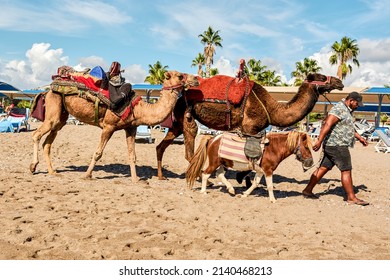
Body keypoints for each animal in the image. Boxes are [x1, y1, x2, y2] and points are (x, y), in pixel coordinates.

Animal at [31, 71, 198, 183]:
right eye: (180, 76)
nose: (196, 79)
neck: (139, 109)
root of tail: (47, 90)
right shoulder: (108, 126)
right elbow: (98, 153)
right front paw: (86, 175)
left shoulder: (131, 128)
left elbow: (132, 155)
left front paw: (136, 179)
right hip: (53, 108)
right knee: (36, 135)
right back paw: (33, 167)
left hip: (61, 116)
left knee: (48, 142)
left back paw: (53, 172)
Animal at [156, 72, 344, 179]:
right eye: (322, 77)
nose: (339, 81)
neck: (271, 109)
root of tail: (181, 94)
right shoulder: (249, 128)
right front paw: (241, 177)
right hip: (187, 113)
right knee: (190, 140)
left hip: (176, 122)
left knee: (161, 146)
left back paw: (161, 176)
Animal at [186, 131, 314, 203]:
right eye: (306, 147)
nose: (311, 162)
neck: (273, 148)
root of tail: (213, 138)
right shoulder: (268, 170)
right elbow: (270, 186)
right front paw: (273, 200)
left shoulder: (261, 171)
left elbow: (255, 183)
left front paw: (245, 194)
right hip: (214, 163)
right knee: (206, 174)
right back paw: (203, 191)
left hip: (224, 163)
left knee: (219, 174)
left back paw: (231, 189)